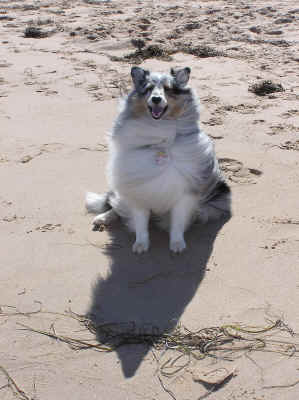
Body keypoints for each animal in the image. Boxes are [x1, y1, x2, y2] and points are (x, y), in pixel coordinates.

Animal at [86, 65, 232, 253]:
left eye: (168, 89)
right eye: (148, 89)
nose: (156, 99)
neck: (159, 136)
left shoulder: (184, 192)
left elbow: (177, 222)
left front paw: (177, 244)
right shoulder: (138, 187)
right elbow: (140, 223)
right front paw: (141, 245)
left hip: (219, 195)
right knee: (116, 205)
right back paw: (102, 218)